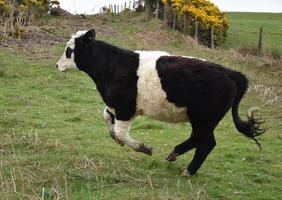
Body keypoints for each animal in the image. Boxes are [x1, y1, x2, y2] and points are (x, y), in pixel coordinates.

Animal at [55, 28, 264, 176]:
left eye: (69, 50)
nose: (57, 65)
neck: (112, 66)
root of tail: (231, 73)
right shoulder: (117, 105)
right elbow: (108, 120)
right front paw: (117, 138)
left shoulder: (125, 107)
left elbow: (121, 132)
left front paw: (144, 148)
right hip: (201, 120)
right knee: (197, 139)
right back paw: (173, 154)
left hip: (204, 119)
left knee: (206, 143)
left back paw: (188, 171)